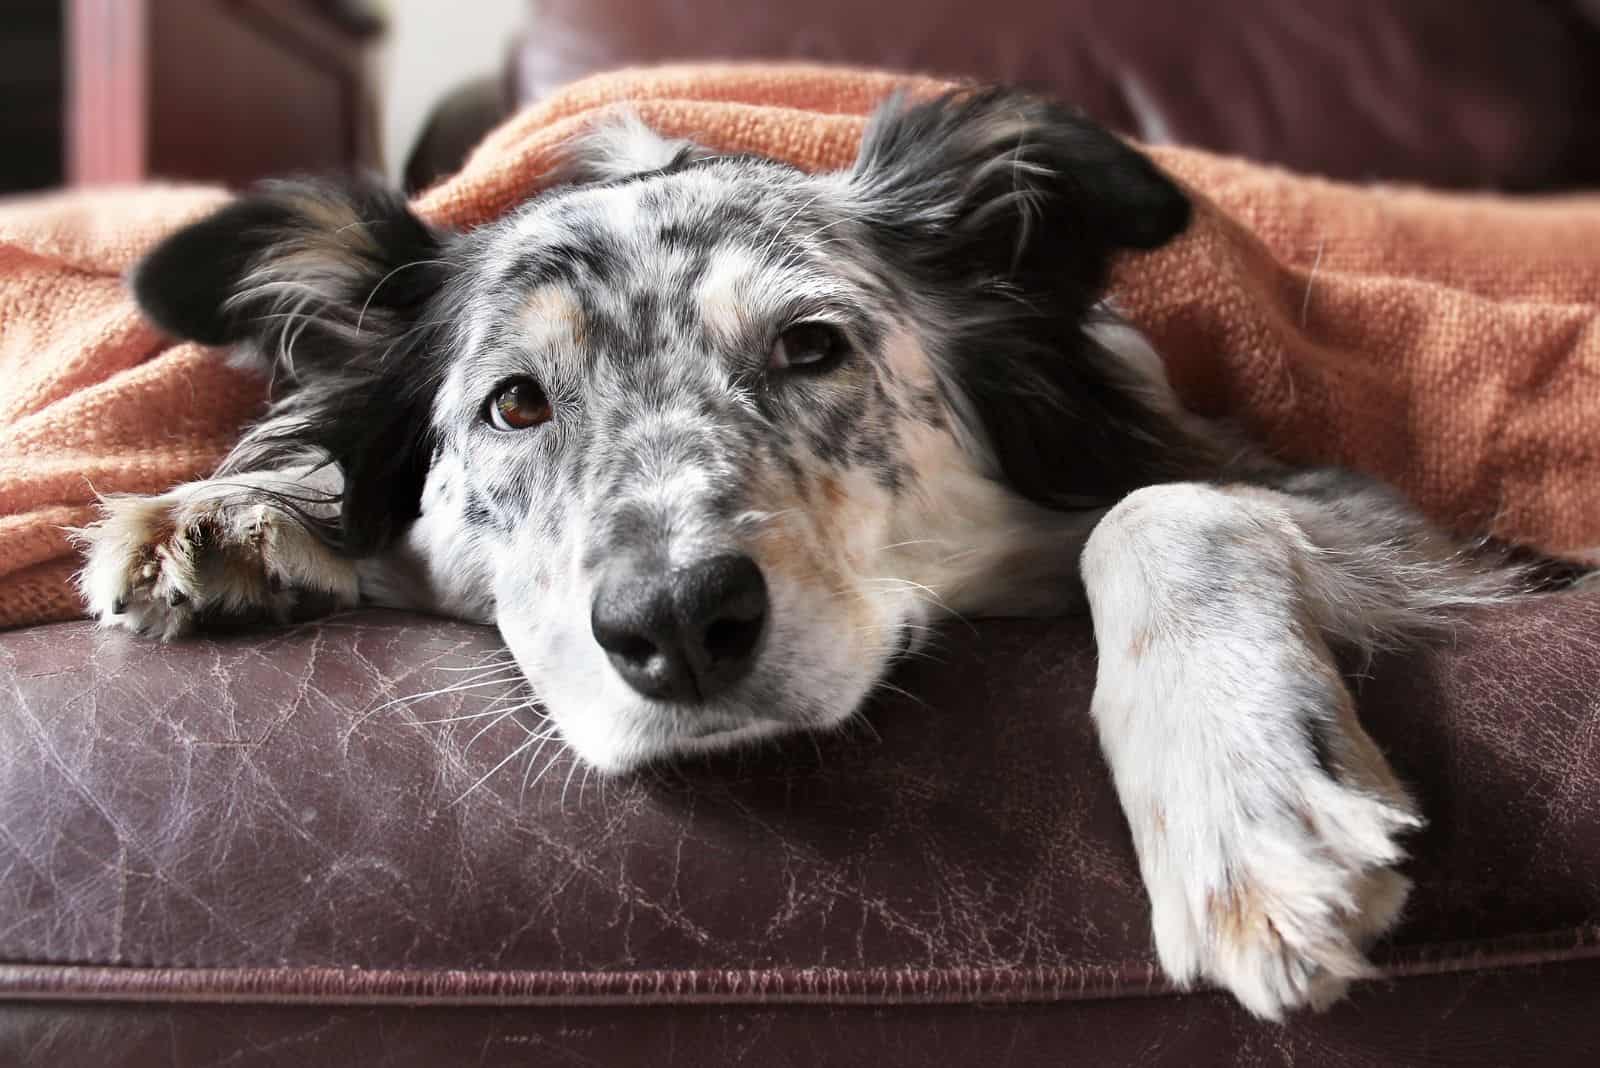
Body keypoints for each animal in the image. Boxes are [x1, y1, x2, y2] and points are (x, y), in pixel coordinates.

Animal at [68, 89, 1568, 1016]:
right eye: (515, 405)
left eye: (809, 347)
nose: (677, 623)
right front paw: (235, 510)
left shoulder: (1352, 504)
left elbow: (1166, 507)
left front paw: (1243, 803)